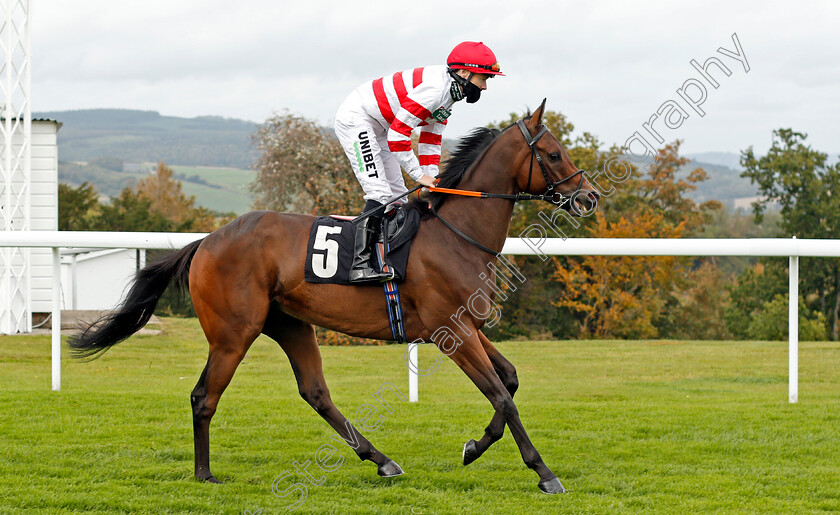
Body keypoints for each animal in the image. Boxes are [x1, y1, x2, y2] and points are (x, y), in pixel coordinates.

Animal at [70, 99, 596, 494]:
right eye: (553, 154)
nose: (588, 197)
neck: (457, 234)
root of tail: (206, 241)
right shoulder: (453, 331)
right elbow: (502, 396)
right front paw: (544, 473)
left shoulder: (466, 326)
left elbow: (508, 381)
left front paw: (473, 447)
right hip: (234, 332)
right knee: (204, 395)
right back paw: (204, 474)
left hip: (289, 323)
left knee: (315, 391)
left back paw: (381, 459)